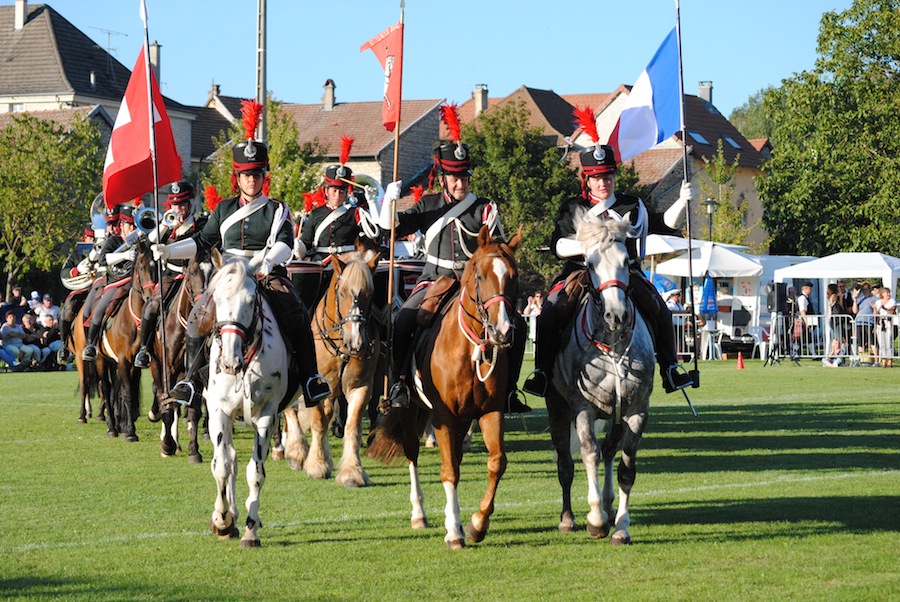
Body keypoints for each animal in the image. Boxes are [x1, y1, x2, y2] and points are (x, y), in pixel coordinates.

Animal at [149, 247, 218, 460]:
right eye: (193, 272)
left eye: (214, 272)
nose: (205, 308)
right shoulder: (168, 369)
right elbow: (168, 405)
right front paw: (167, 445)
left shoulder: (194, 371)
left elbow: (193, 408)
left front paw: (193, 450)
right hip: (156, 366)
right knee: (162, 396)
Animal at [204, 255, 292, 548]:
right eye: (216, 298)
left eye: (251, 301)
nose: (229, 362)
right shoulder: (219, 412)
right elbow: (222, 466)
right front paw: (222, 520)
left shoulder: (267, 415)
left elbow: (255, 472)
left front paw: (251, 529)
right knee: (229, 457)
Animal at [282, 246, 380, 486]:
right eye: (343, 292)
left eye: (369, 293)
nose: (357, 342)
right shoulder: (316, 385)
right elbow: (319, 421)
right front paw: (317, 464)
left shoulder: (361, 386)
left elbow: (352, 426)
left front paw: (352, 471)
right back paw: (296, 450)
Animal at [366, 225, 520, 548]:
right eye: (480, 276)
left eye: (514, 276)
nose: (502, 331)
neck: (471, 348)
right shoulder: (442, 416)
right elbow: (449, 470)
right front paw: (454, 532)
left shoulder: (489, 413)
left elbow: (496, 463)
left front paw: (476, 524)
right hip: (411, 410)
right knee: (412, 452)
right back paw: (419, 514)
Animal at [540, 212, 652, 544]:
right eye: (589, 264)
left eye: (627, 261)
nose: (616, 316)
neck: (613, 346)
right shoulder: (582, 408)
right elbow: (589, 453)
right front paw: (596, 520)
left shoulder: (636, 411)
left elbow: (627, 466)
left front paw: (621, 526)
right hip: (557, 409)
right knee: (565, 463)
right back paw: (568, 518)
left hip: (616, 416)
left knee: (611, 451)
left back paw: (609, 503)